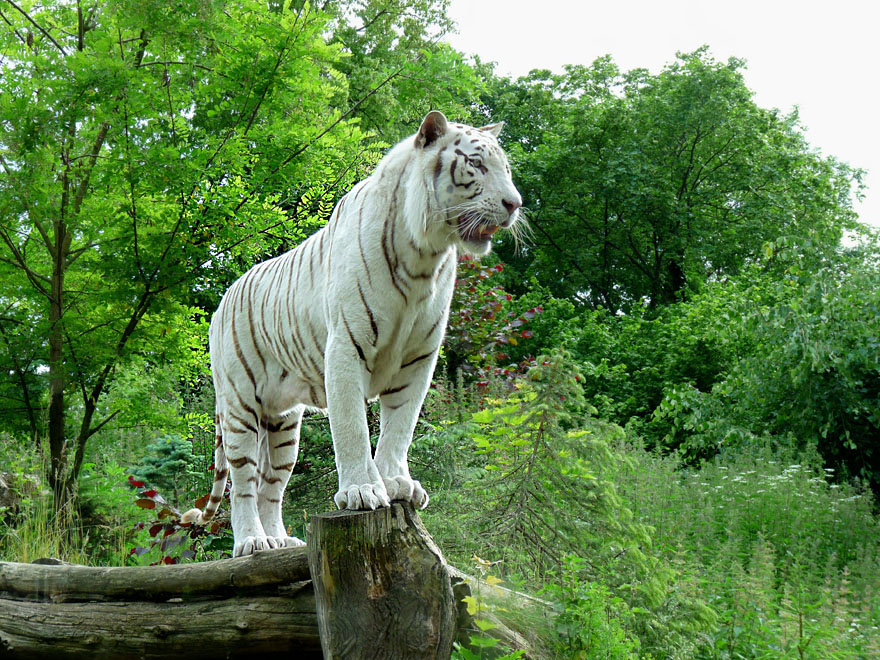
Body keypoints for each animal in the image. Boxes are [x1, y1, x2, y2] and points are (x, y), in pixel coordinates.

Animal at [181, 111, 520, 556]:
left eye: (507, 169)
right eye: (477, 165)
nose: (515, 204)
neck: (424, 257)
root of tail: (222, 301)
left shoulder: (418, 359)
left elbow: (399, 428)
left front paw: (397, 483)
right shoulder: (346, 347)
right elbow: (353, 429)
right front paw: (362, 491)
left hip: (283, 425)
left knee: (271, 485)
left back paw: (280, 540)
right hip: (240, 407)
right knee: (243, 484)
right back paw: (252, 542)